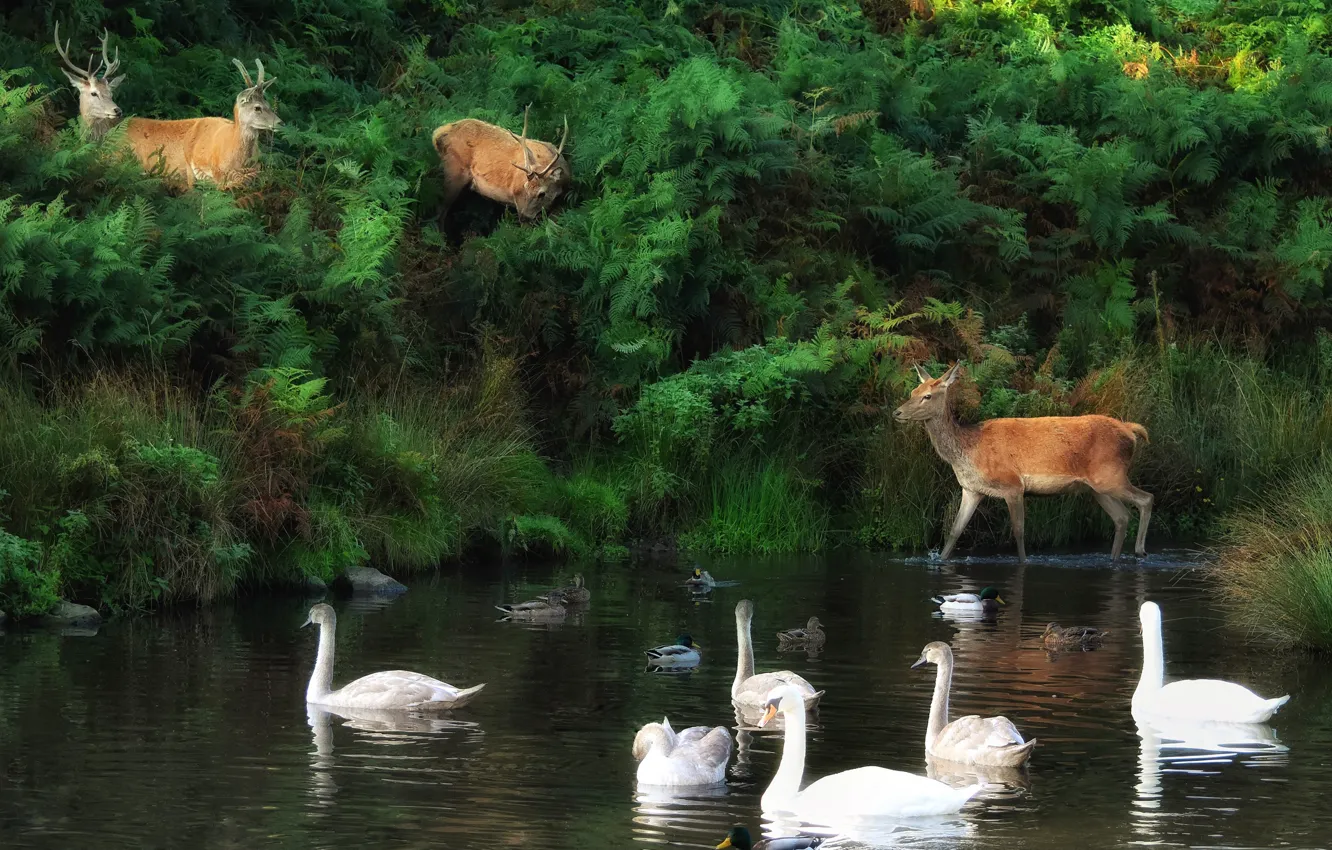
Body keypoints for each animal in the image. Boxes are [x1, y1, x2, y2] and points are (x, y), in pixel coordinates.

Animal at [431, 105, 570, 219]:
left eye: (542, 194)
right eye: (525, 187)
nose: (524, 216)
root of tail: (437, 133)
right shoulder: (518, 198)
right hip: (454, 170)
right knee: (440, 210)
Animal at [893, 363, 1153, 562]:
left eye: (927, 396)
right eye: (913, 391)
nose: (897, 412)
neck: (967, 451)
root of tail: (1130, 430)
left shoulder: (1013, 485)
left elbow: (1018, 532)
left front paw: (1024, 562)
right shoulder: (971, 489)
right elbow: (955, 531)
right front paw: (940, 560)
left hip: (1111, 476)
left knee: (1146, 499)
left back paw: (1140, 551)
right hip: (1096, 488)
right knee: (1121, 517)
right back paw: (1114, 559)